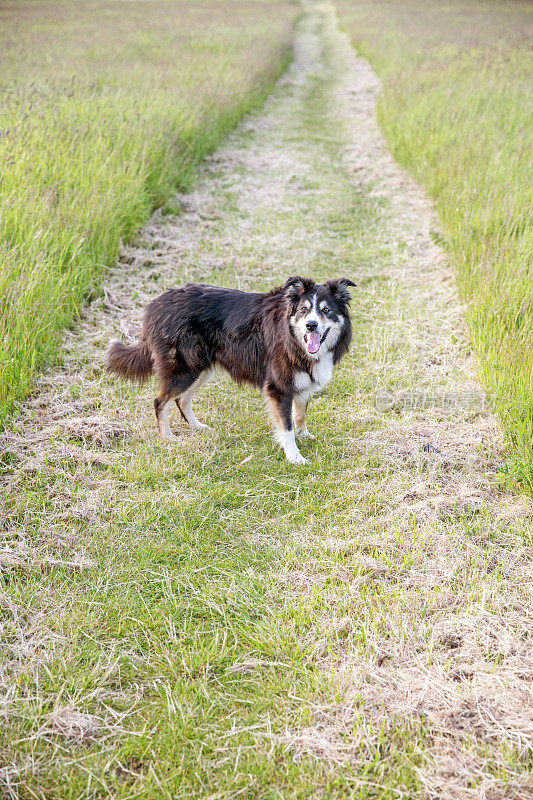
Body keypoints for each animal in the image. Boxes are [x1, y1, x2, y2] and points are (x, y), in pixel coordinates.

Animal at [105, 276, 354, 462]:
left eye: (326, 310)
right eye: (303, 309)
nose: (311, 325)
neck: (293, 337)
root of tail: (156, 305)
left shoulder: (300, 382)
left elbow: (300, 414)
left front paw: (304, 435)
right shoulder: (278, 387)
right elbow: (287, 425)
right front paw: (294, 456)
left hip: (201, 368)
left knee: (181, 400)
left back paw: (197, 427)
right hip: (185, 369)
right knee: (160, 402)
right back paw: (167, 437)